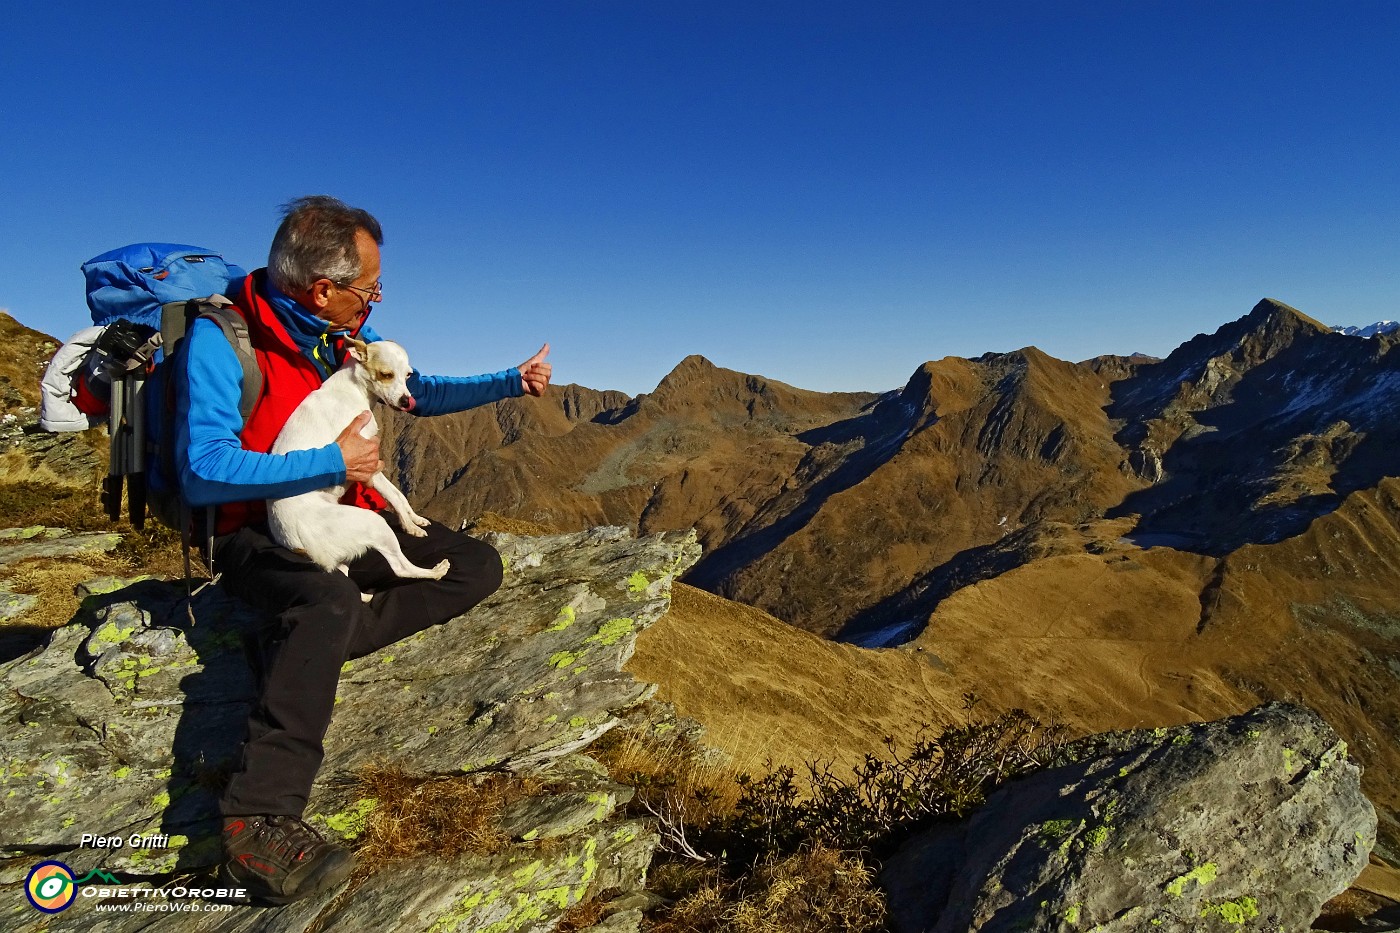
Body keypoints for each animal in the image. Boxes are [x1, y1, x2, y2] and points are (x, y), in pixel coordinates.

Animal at [267, 337, 448, 577]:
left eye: (409, 375)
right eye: (386, 374)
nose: (407, 401)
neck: (353, 390)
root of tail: (297, 546)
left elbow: (399, 495)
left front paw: (414, 519)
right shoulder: (369, 467)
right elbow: (394, 498)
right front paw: (410, 526)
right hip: (374, 523)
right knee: (401, 568)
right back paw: (436, 571)